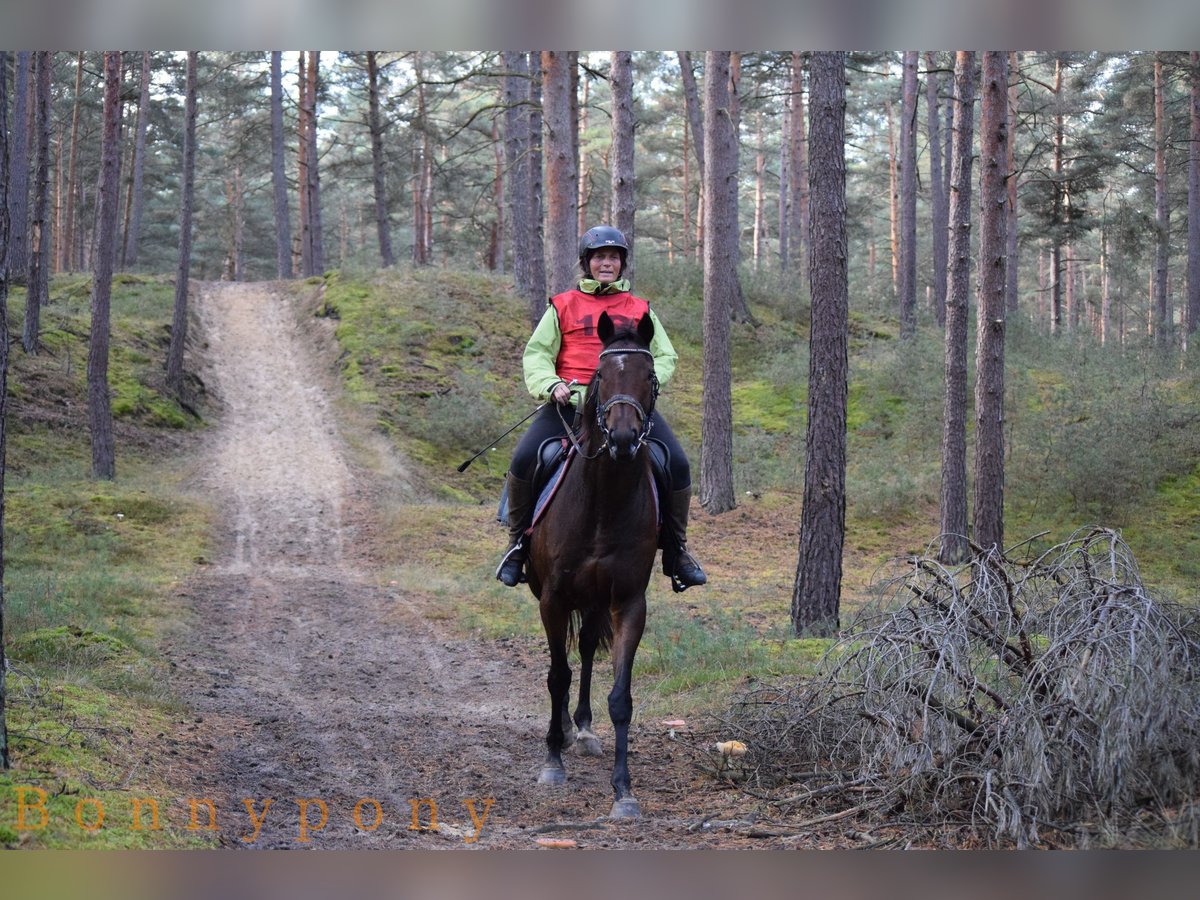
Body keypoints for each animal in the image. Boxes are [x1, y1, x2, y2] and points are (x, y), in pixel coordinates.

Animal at [528, 312, 662, 825]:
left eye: (649, 375)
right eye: (602, 375)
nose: (623, 439)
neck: (605, 502)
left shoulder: (628, 602)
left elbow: (620, 698)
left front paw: (623, 791)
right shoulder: (552, 598)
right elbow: (556, 676)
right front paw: (551, 760)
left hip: (594, 600)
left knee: (585, 649)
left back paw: (582, 728)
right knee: (566, 661)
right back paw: (567, 732)